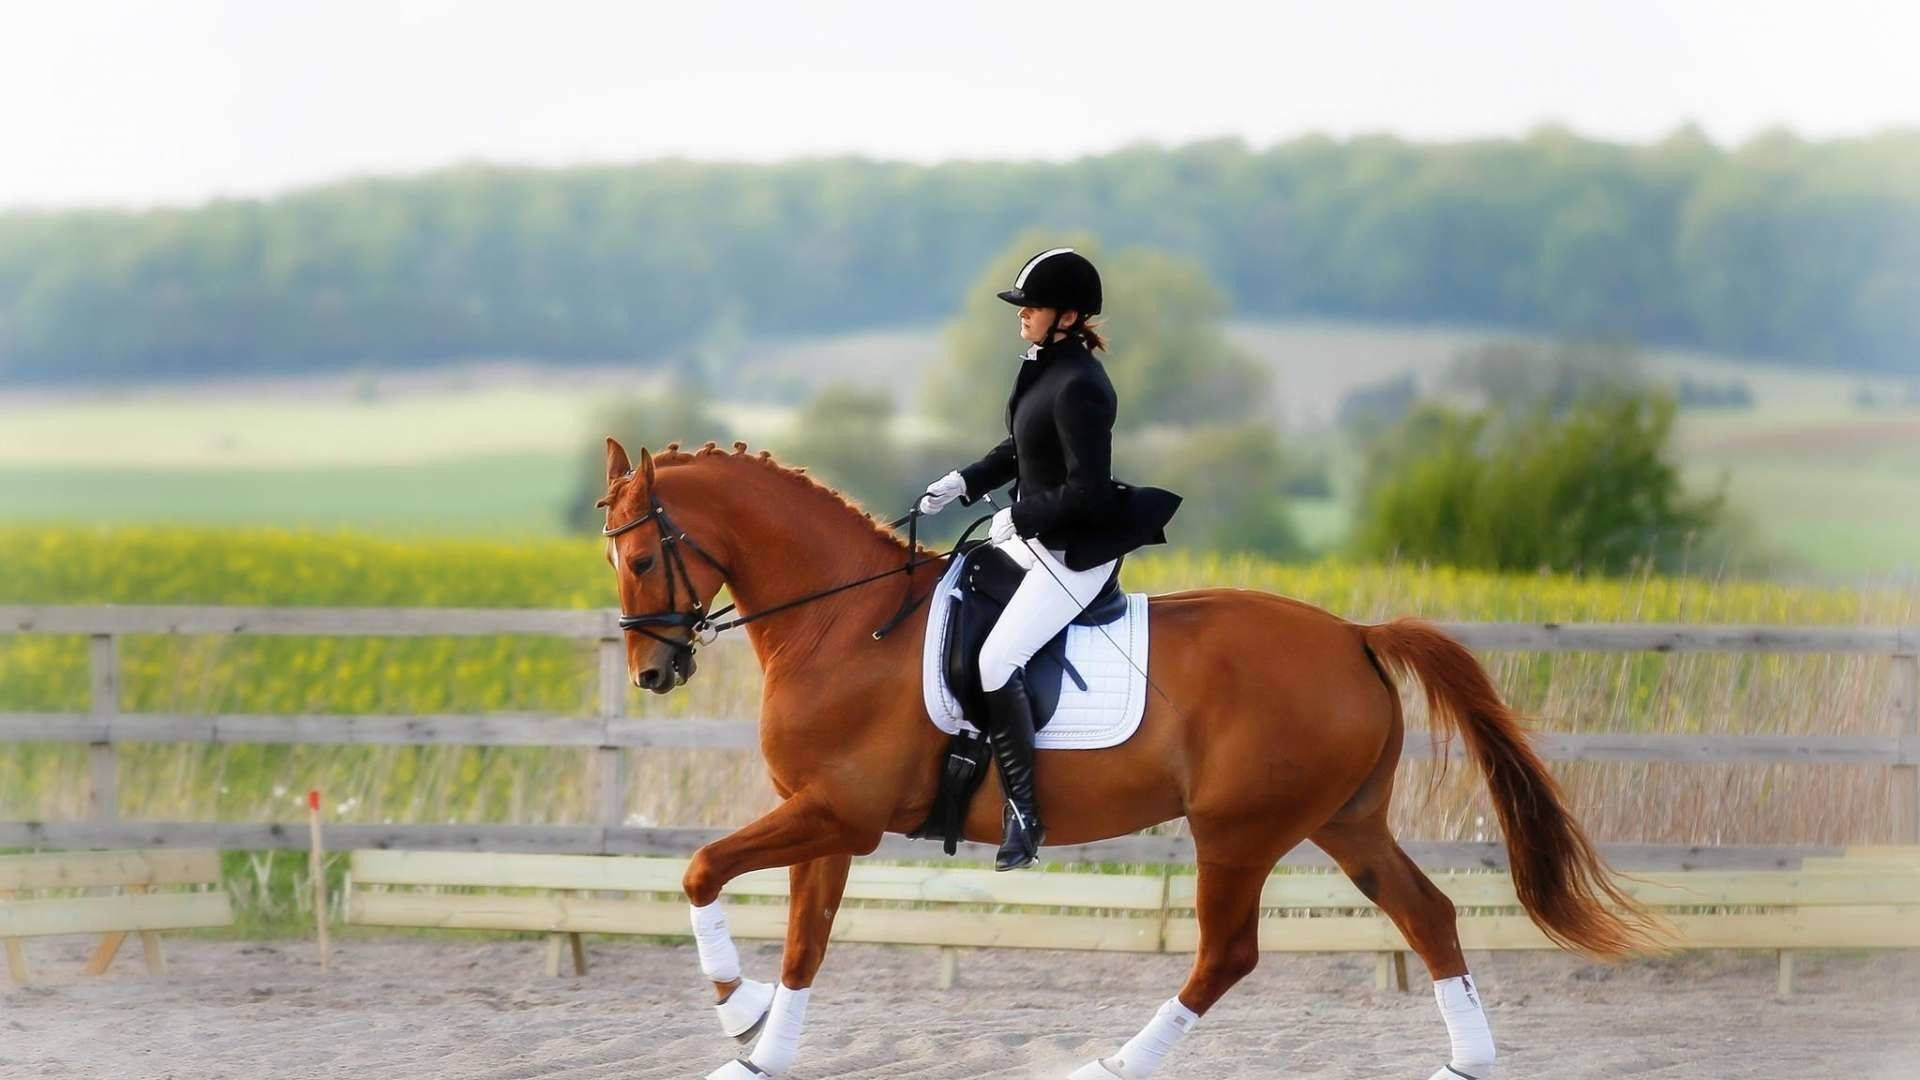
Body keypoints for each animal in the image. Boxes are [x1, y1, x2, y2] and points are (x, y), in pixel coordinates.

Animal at [599, 438, 1651, 1076]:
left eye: (642, 559)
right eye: (615, 560)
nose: (653, 671)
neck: (846, 623)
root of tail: (1353, 633)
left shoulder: (838, 815)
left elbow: (700, 871)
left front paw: (736, 1011)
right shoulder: (829, 821)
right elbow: (805, 944)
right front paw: (759, 1050)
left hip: (1238, 831)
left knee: (1227, 954)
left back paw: (1110, 1065)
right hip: (1345, 822)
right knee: (1427, 915)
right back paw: (1466, 1063)